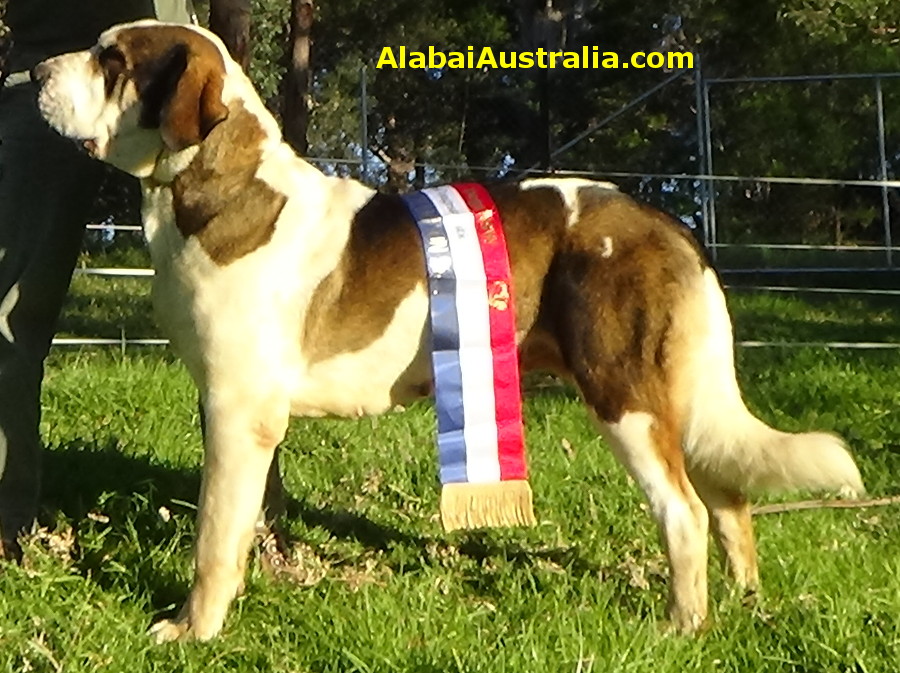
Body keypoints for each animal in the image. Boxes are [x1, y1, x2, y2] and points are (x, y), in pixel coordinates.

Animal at [35, 21, 864, 640]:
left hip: (623, 390)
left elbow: (213, 534)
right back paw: (747, 603)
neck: (219, 185)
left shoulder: (240, 410)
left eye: (113, 61)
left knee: (684, 508)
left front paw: (192, 630)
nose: (35, 70)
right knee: (728, 495)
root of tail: (665, 221)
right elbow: (236, 522)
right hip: (679, 395)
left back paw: (682, 625)